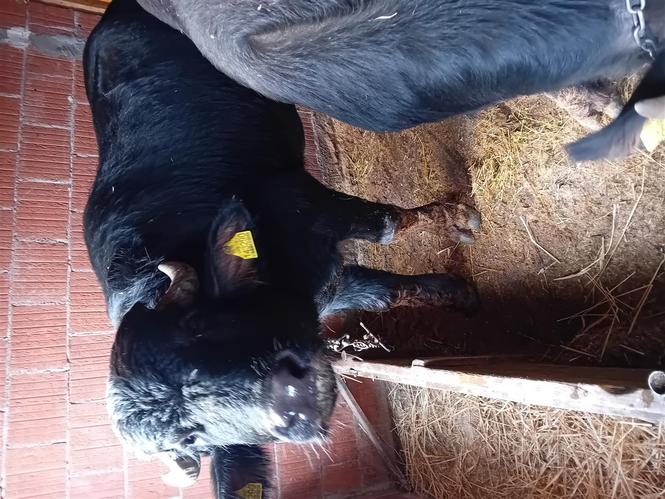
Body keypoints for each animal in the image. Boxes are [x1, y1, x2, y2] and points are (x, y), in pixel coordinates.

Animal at [84, 0, 480, 496]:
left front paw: (458, 218)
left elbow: (389, 227)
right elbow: (387, 291)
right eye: (194, 436)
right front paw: (457, 292)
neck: (287, 283)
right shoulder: (332, 288)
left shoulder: (306, 198)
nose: (292, 398)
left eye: (196, 327)